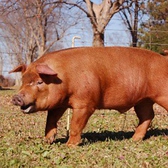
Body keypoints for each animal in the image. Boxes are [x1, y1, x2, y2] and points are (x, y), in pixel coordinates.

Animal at [9, 46, 168, 146]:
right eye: (23, 80)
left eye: (39, 81)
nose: (16, 97)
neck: (64, 78)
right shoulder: (59, 105)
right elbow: (50, 122)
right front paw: (47, 141)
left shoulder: (85, 104)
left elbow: (75, 126)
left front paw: (69, 146)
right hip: (143, 100)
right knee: (147, 116)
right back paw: (133, 140)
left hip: (162, 95)